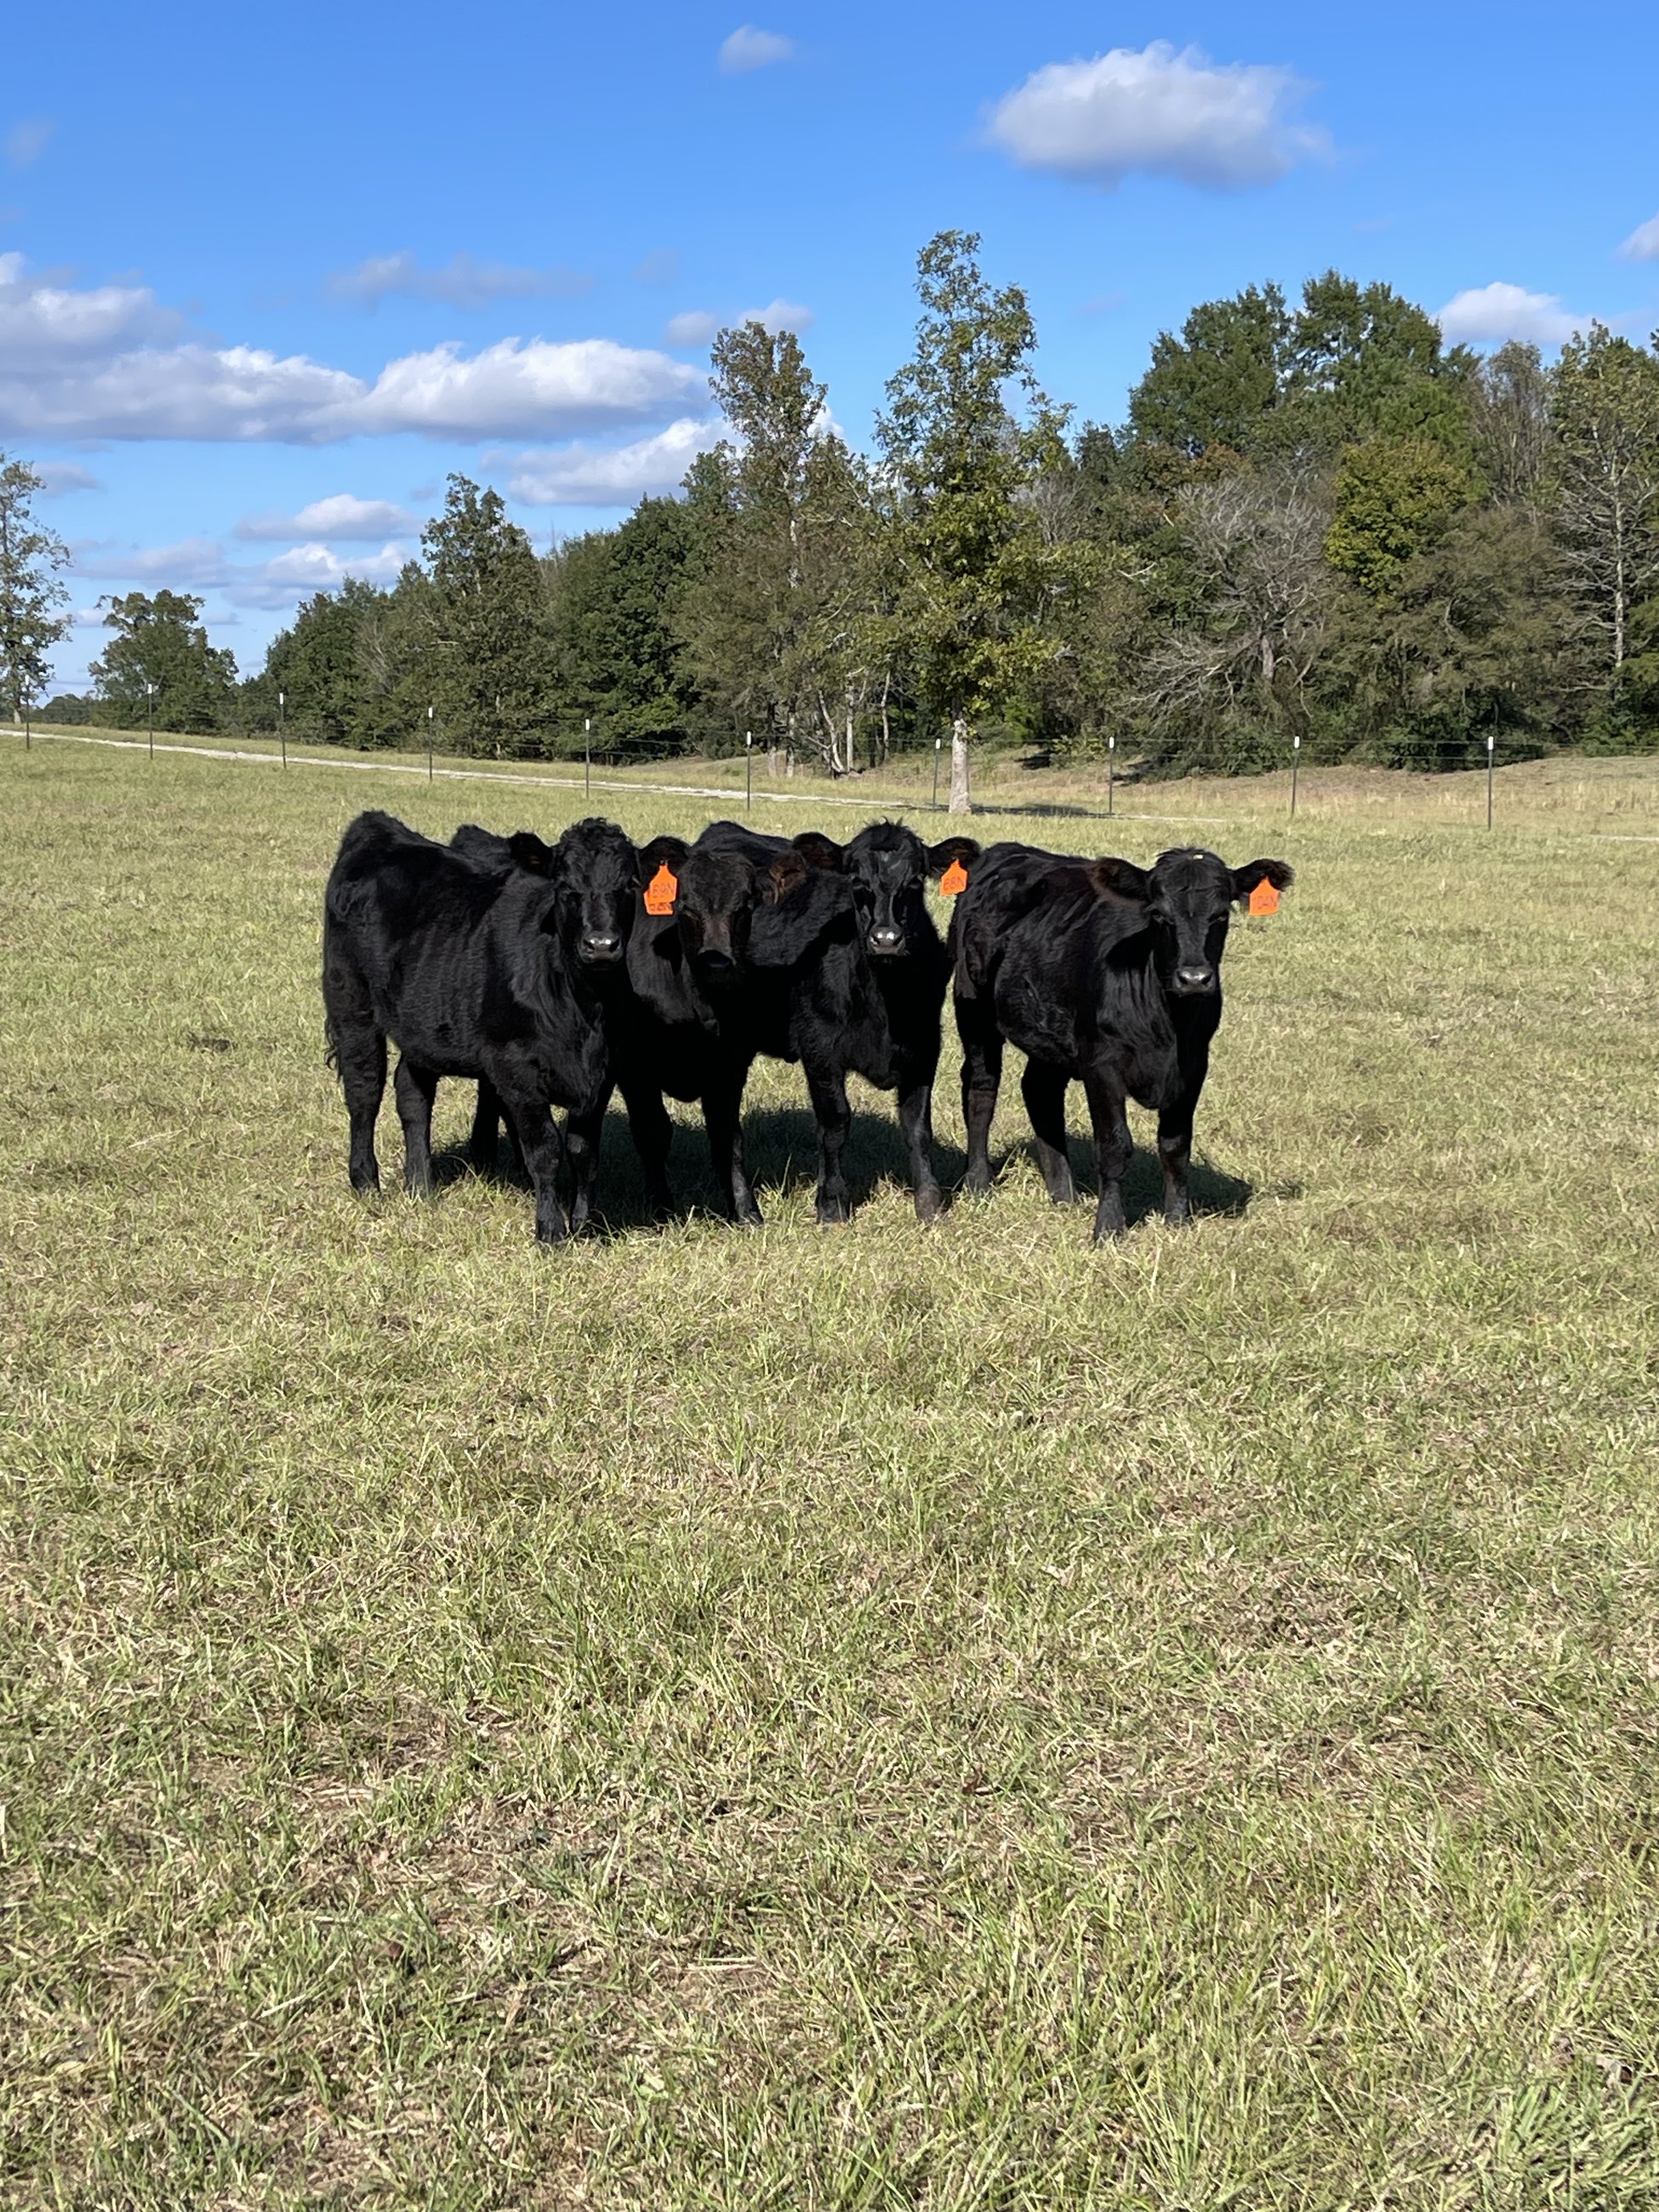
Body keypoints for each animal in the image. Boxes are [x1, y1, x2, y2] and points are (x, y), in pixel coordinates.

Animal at [321, 810, 642, 1242]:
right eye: (564, 887)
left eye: (629, 886)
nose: (602, 945)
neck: (585, 1010)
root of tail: (378, 828)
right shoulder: (515, 1067)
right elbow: (545, 1150)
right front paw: (550, 1230)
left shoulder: (604, 1071)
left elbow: (583, 1151)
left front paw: (584, 1224)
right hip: (350, 1001)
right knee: (364, 1091)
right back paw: (366, 1183)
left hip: (420, 1020)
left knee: (412, 1092)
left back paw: (420, 1185)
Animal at [694, 819, 980, 1224]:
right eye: (857, 882)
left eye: (915, 882)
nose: (886, 939)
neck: (885, 1003)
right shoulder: (821, 1050)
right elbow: (835, 1124)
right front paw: (831, 1204)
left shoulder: (925, 1047)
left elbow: (917, 1127)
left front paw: (930, 1202)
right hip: (729, 1042)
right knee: (725, 1120)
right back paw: (744, 1207)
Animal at [951, 843, 1293, 1244]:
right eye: (1158, 915)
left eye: (1222, 914)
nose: (1194, 978)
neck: (1168, 1025)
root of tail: (1004, 851)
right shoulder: (1101, 1065)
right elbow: (1114, 1146)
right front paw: (1109, 1227)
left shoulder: (1194, 1066)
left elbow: (1176, 1145)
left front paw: (1177, 1220)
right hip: (973, 1010)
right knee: (981, 1087)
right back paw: (978, 1182)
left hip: (1051, 1032)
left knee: (1040, 1091)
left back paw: (1064, 1193)